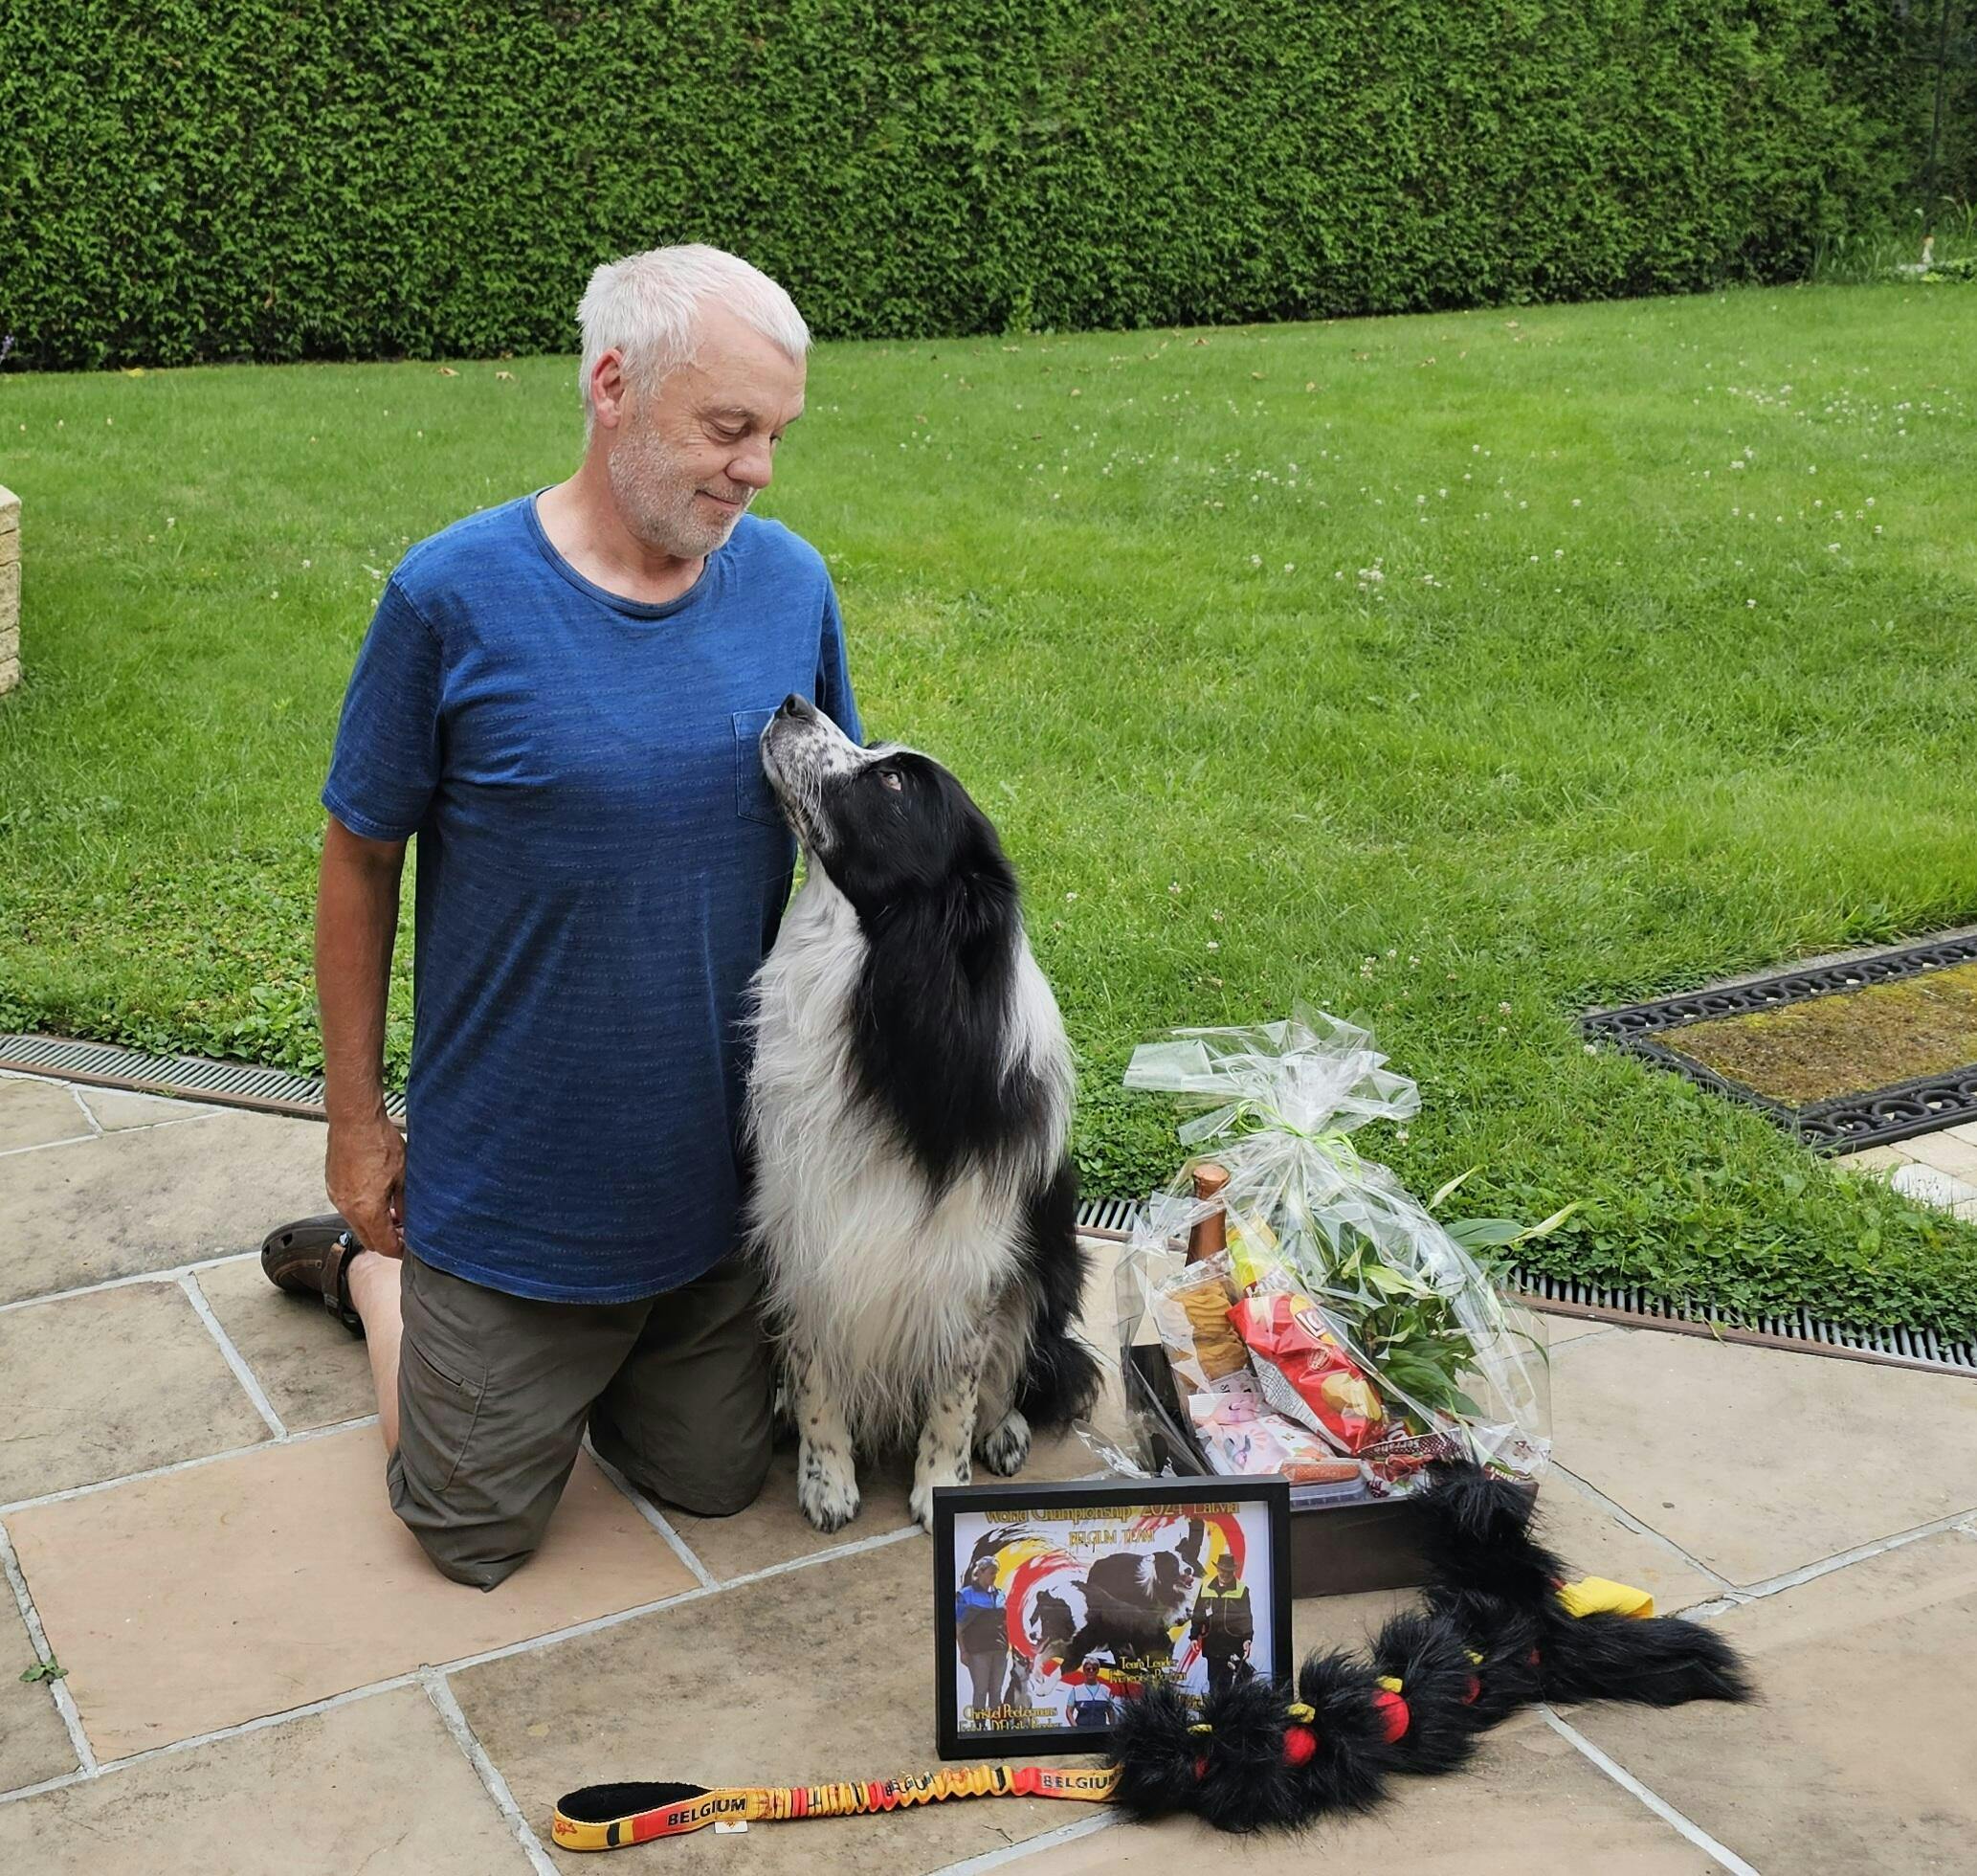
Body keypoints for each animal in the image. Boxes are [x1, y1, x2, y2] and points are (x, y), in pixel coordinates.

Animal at [744, 694, 1100, 1533]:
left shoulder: (970, 1257)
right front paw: (827, 1482)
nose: (793, 702)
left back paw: (1003, 1432)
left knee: (1026, 1365)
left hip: (1054, 1264)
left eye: (896, 784)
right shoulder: (803, 1230)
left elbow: (956, 1388)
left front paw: (942, 1487)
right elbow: (814, 1368)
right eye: (871, 746)